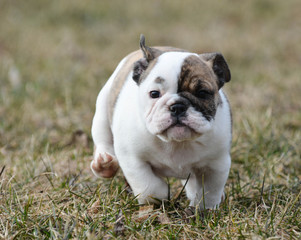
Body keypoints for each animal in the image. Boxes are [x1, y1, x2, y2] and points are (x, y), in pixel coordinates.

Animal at [90, 34, 231, 209]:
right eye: (154, 94)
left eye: (203, 93)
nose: (177, 106)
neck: (176, 143)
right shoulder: (132, 158)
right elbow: (149, 185)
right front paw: (161, 197)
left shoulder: (217, 164)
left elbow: (209, 191)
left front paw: (204, 209)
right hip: (102, 109)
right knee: (102, 139)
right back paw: (104, 163)